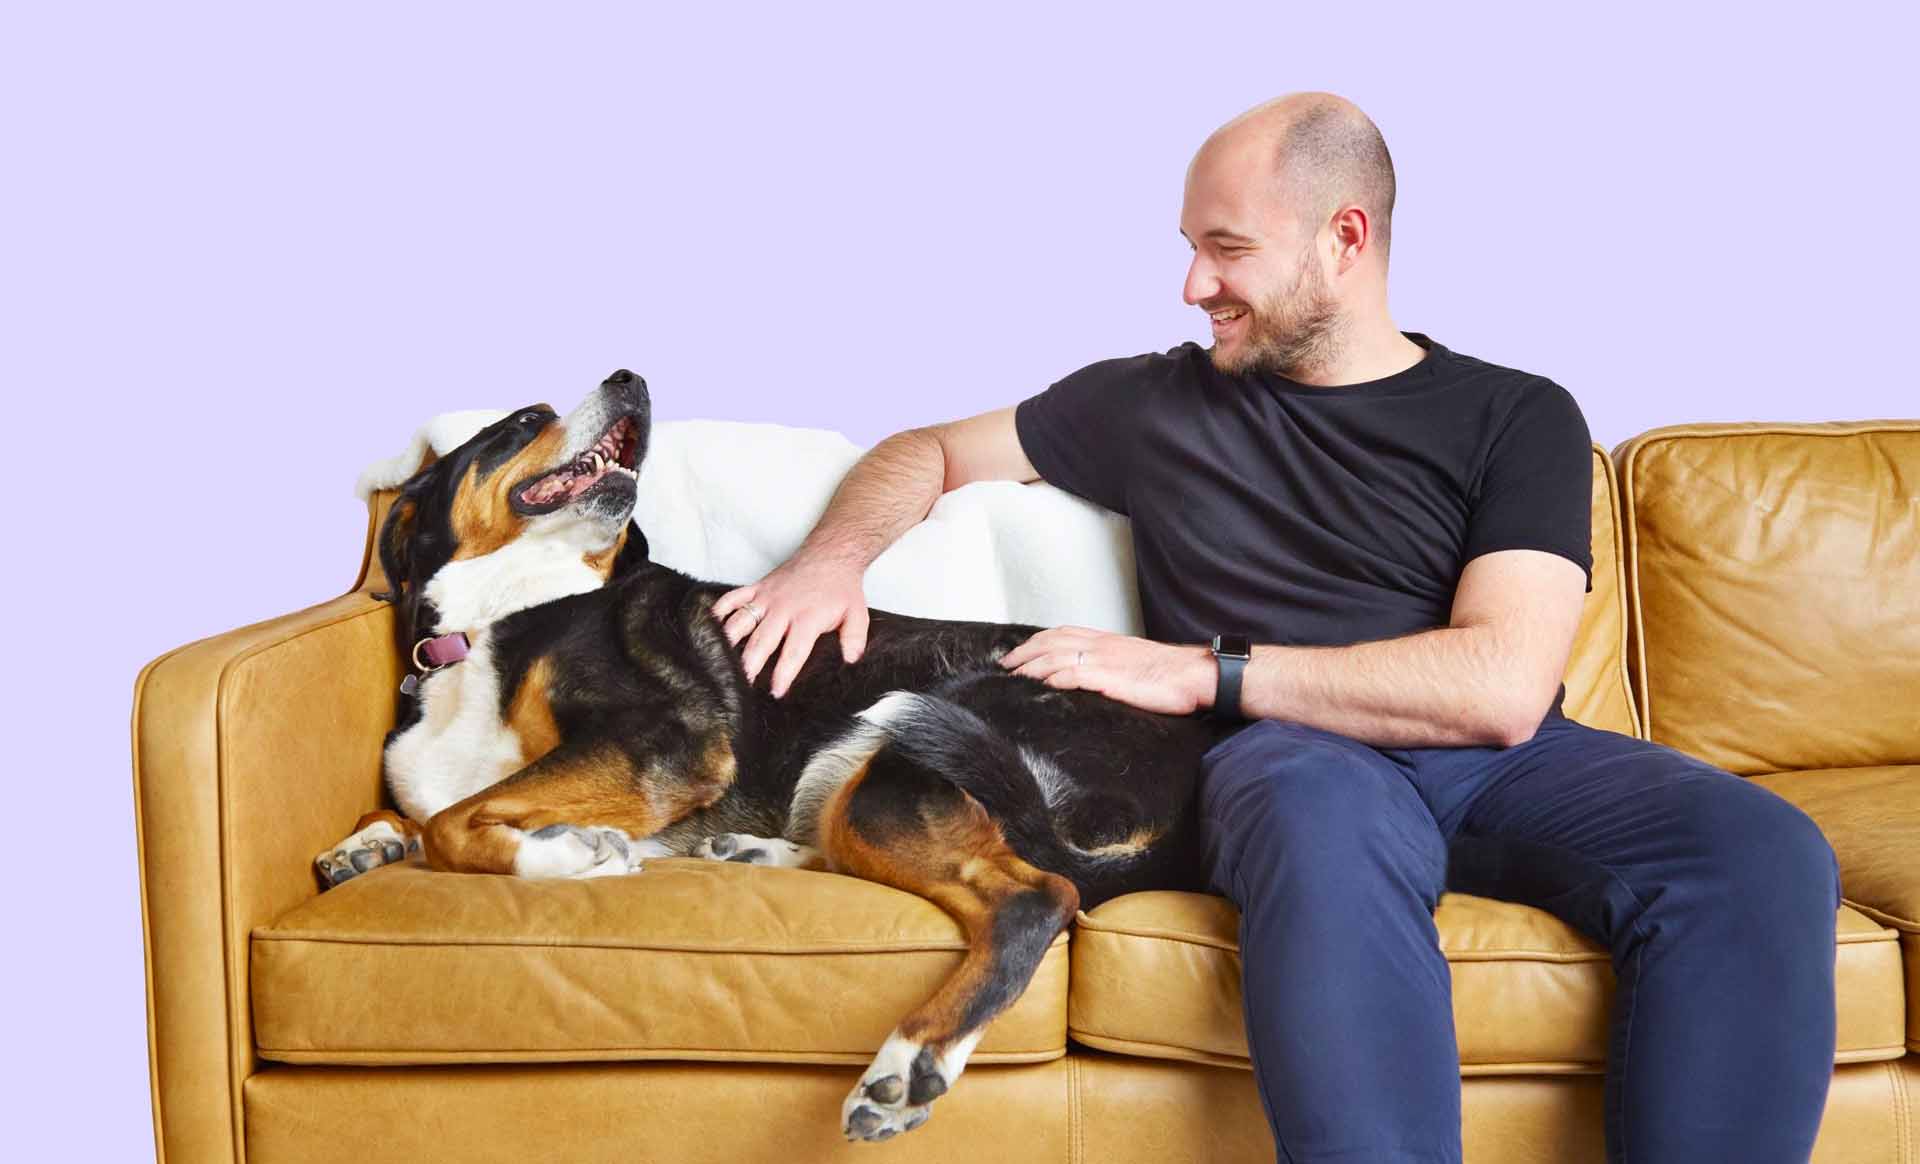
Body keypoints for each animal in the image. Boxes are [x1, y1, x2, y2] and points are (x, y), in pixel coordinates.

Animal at [318, 376, 1228, 1152]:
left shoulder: (666, 741)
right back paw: (758, 851)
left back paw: (910, 1064)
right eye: (520, 422)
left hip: (905, 755)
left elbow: (454, 823)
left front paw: (566, 854)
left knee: (1036, 897)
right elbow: (421, 807)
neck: (492, 622)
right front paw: (367, 845)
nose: (630, 379)